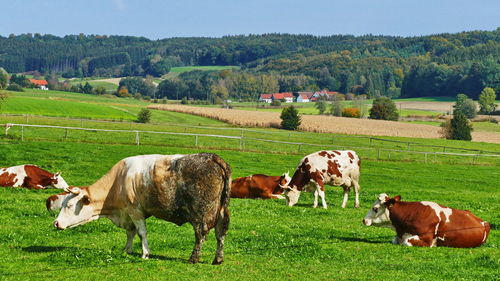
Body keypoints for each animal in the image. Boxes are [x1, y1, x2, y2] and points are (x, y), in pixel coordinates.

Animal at [51, 152, 231, 264]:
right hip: (222, 212)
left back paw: (193, 258)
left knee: (201, 235)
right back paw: (218, 259)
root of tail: (212, 157)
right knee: (220, 233)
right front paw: (127, 249)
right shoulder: (127, 213)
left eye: (70, 205)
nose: (56, 223)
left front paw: (145, 253)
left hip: (201, 215)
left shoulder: (135, 211)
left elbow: (141, 232)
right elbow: (130, 233)